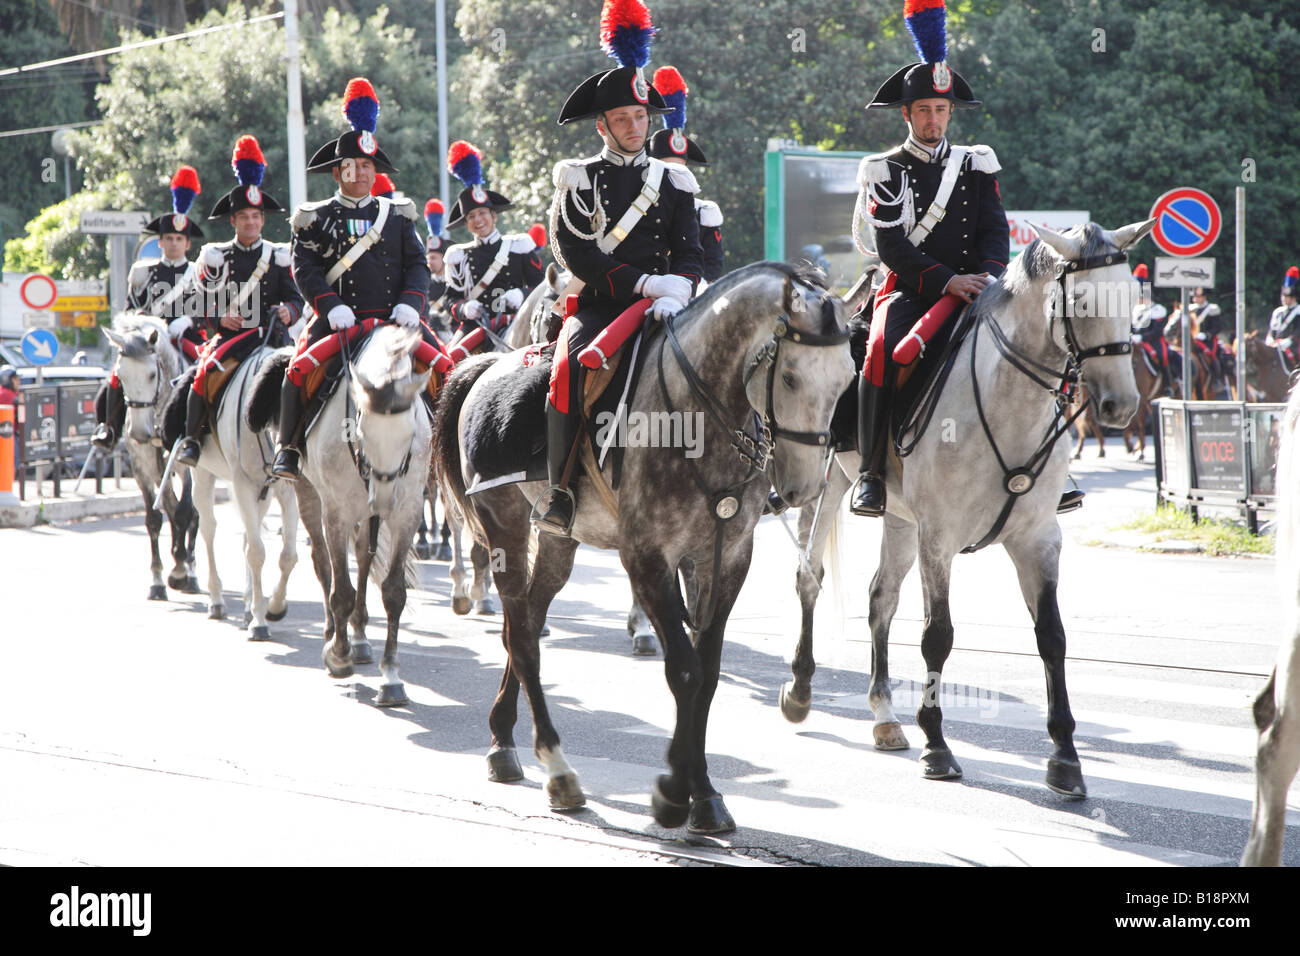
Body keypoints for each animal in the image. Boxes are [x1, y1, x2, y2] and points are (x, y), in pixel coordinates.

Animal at [102, 314, 197, 598]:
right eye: (120, 376)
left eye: (152, 374)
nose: (138, 432)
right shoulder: (142, 466)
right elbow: (155, 519)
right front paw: (158, 578)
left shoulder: (185, 463)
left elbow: (185, 512)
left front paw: (180, 572)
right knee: (171, 507)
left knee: (191, 513)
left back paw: (191, 571)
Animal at [166, 340, 297, 639]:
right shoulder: (242, 485)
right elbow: (257, 553)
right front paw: (259, 621)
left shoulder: (285, 491)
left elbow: (287, 555)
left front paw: (274, 606)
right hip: (203, 476)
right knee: (209, 530)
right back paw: (217, 600)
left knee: (249, 534)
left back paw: (249, 603)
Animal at [436, 261, 857, 832]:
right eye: (790, 376)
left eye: (849, 377)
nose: (802, 488)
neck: (697, 416)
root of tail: (484, 367)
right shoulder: (646, 559)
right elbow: (685, 670)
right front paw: (676, 794)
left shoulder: (725, 558)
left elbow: (709, 673)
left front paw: (704, 795)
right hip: (504, 524)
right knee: (521, 636)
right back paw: (557, 769)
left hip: (558, 540)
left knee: (525, 622)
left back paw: (504, 737)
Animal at [780, 218, 1149, 801]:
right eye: (1081, 301)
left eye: (1133, 297)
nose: (1121, 405)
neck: (1006, 405)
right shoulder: (939, 537)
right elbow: (938, 635)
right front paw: (937, 746)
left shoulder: (1038, 539)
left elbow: (1052, 637)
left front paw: (1066, 758)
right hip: (826, 483)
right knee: (809, 575)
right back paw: (799, 689)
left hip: (899, 517)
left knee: (881, 598)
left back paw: (884, 714)